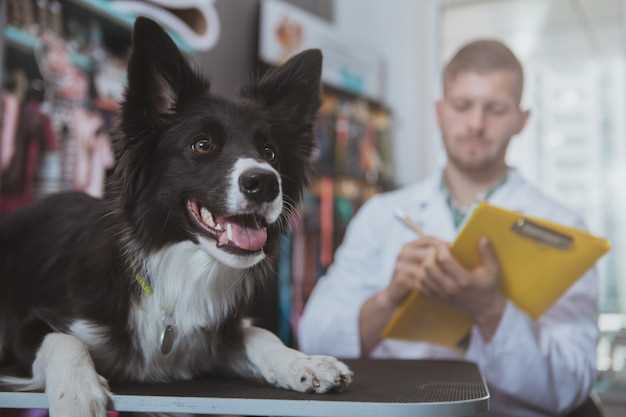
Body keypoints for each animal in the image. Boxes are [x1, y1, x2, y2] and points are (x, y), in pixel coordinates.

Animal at [0, 17, 352, 416]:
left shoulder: (211, 338)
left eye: (270, 152)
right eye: (202, 145)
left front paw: (304, 362)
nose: (265, 183)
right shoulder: (28, 325)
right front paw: (76, 392)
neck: (175, 266)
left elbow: (259, 332)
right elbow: (62, 340)